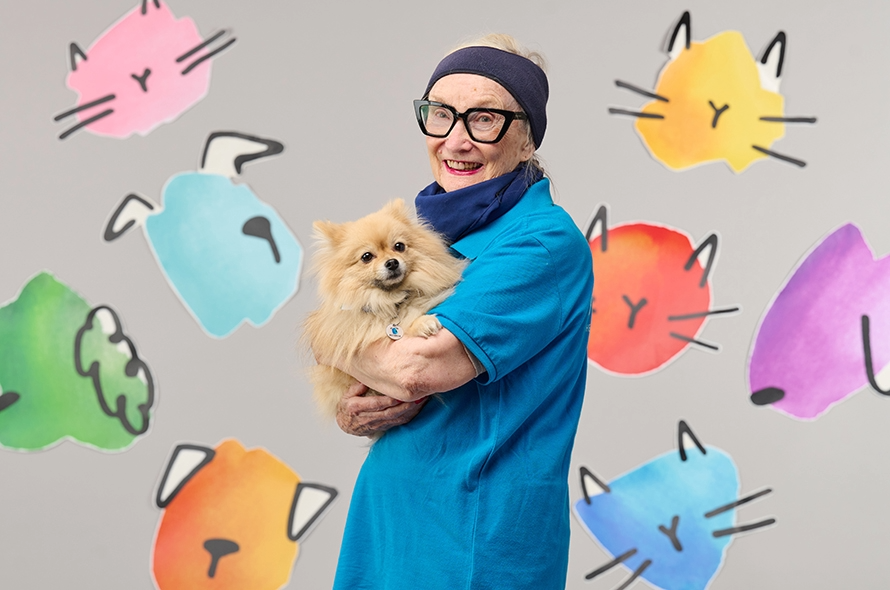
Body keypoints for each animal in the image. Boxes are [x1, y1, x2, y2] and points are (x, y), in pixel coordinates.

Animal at [302, 202, 464, 420]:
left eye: (399, 246)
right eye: (366, 257)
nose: (392, 262)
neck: (390, 300)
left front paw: (424, 321)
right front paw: (421, 323)